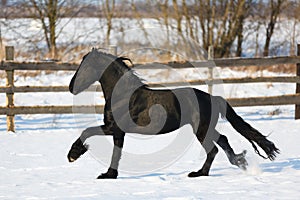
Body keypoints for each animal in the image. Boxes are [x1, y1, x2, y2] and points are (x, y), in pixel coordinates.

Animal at [67, 48, 278, 180]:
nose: (71, 88)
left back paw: (199, 173)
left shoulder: (113, 128)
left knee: (213, 149)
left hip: (200, 129)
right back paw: (239, 162)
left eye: (85, 67)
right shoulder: (119, 132)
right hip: (205, 128)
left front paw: (73, 155)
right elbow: (115, 153)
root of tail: (213, 98)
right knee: (223, 140)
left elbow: (87, 131)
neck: (123, 95)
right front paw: (109, 175)